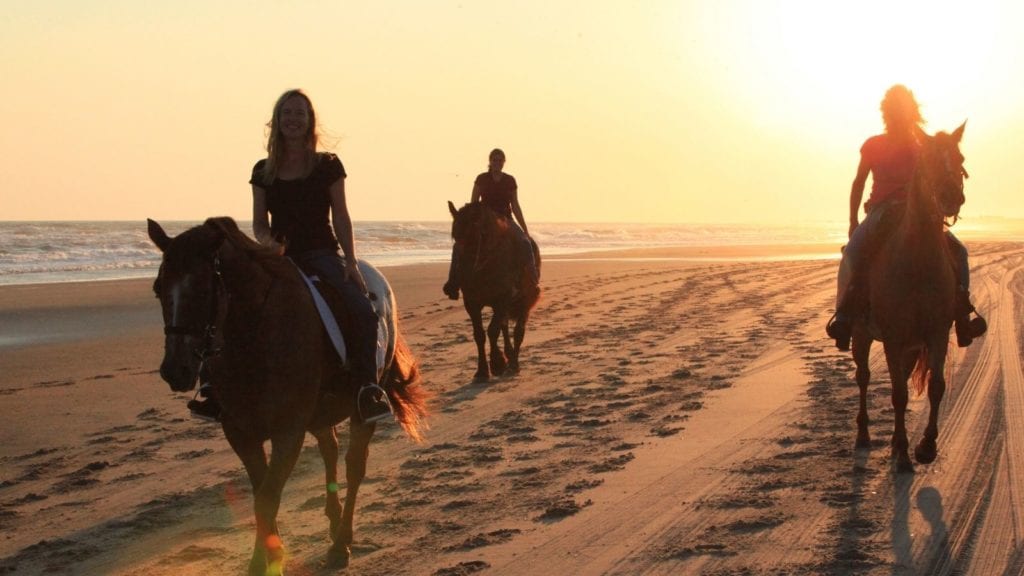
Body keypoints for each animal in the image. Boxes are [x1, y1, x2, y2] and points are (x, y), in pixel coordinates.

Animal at [148, 217, 428, 569]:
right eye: (158, 289)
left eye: (202, 290)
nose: (174, 370)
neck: (254, 336)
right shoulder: (240, 433)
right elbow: (261, 493)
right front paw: (271, 553)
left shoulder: (288, 432)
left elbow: (267, 497)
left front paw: (261, 563)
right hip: (320, 413)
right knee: (329, 449)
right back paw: (333, 520)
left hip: (361, 407)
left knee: (354, 466)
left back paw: (341, 542)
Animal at [448, 201, 544, 381]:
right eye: (455, 237)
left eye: (474, 237)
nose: (464, 273)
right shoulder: (472, 303)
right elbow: (479, 334)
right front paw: (482, 371)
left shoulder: (503, 299)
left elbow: (493, 331)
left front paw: (497, 363)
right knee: (504, 326)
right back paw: (509, 354)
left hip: (525, 300)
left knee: (518, 331)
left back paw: (513, 364)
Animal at [851, 121, 970, 471]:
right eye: (928, 159)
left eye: (959, 157)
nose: (951, 197)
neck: (917, 258)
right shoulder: (892, 337)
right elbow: (899, 394)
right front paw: (904, 454)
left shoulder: (937, 332)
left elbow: (936, 386)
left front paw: (926, 447)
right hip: (862, 334)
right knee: (863, 376)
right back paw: (864, 435)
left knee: (900, 377)